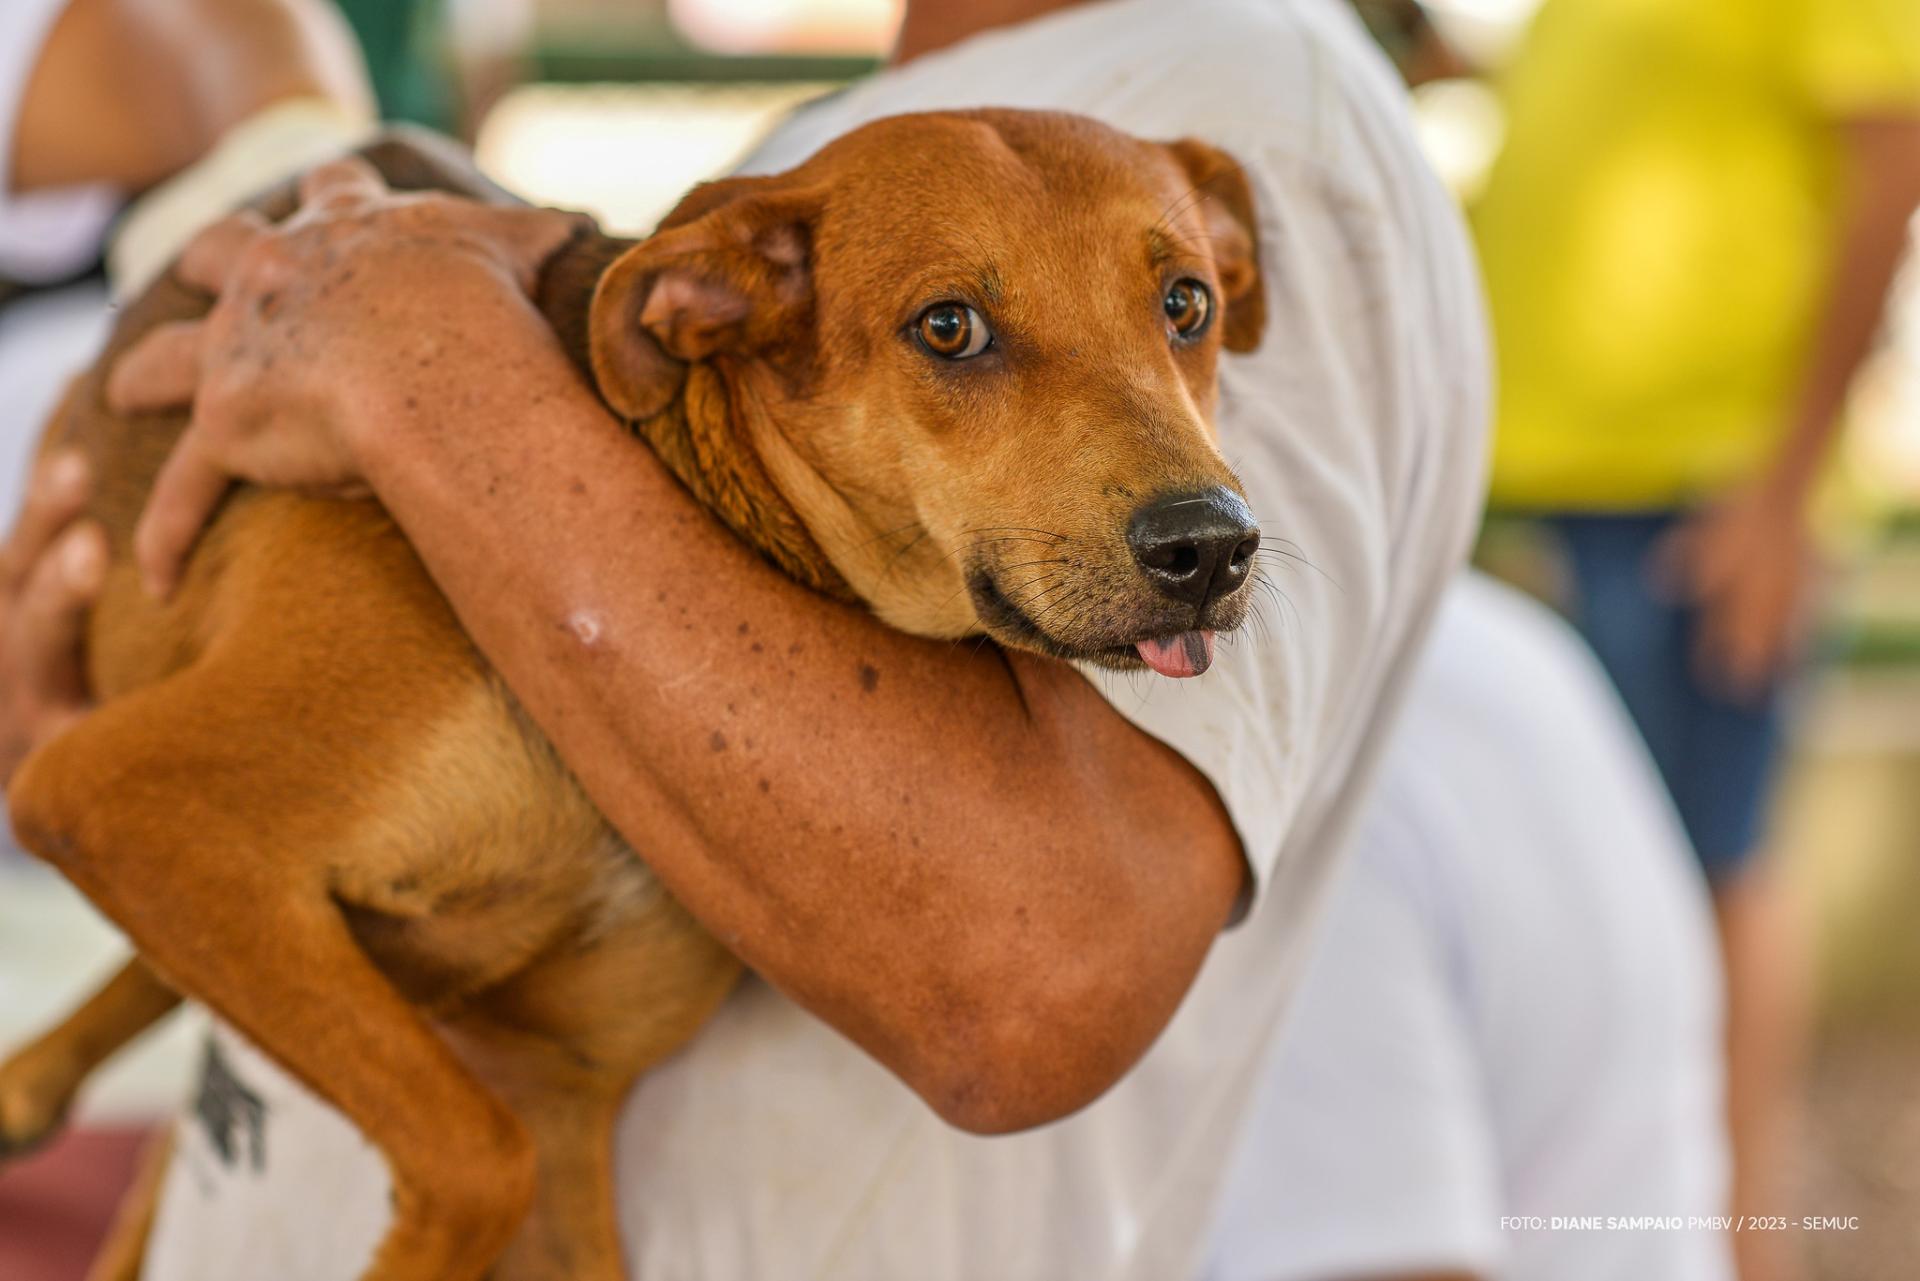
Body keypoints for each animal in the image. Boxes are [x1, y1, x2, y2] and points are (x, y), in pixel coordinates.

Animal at [3, 112, 1274, 1281]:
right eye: (949, 327)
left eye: (1186, 306)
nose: (1210, 546)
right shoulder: (127, 802)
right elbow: (478, 1161)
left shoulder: (559, 1089)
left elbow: (495, 1161)